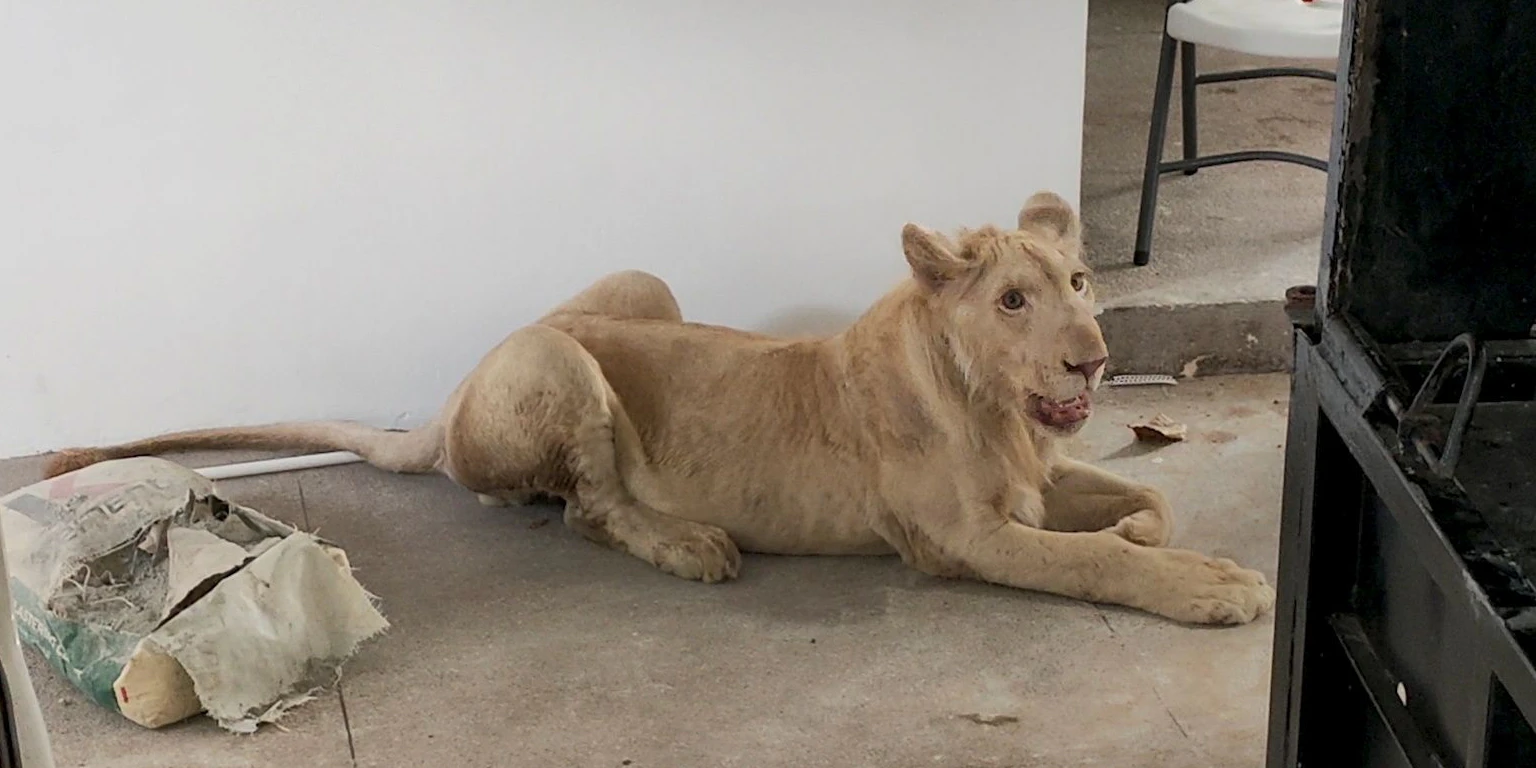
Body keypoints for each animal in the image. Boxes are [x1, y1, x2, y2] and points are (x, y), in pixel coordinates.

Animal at [44, 191, 1274, 625]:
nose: (1095, 363)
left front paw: (1146, 532)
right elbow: (1094, 562)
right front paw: (1214, 587)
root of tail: (449, 398)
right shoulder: (957, 539)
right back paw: (692, 546)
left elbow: (1145, 508)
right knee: (589, 509)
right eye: (1013, 299)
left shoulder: (1041, 473)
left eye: (1080, 284)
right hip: (558, 360)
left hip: (640, 286)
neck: (995, 405)